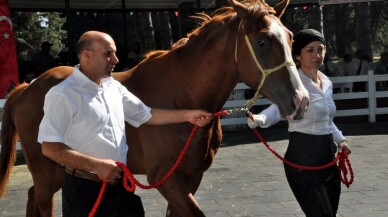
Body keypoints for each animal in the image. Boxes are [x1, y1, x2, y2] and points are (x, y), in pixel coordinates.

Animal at [0, 0, 310, 216]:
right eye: (262, 41)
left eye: (290, 37)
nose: (301, 101)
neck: (180, 95)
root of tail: (26, 88)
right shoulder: (164, 179)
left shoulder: (190, 176)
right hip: (46, 170)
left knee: (31, 196)